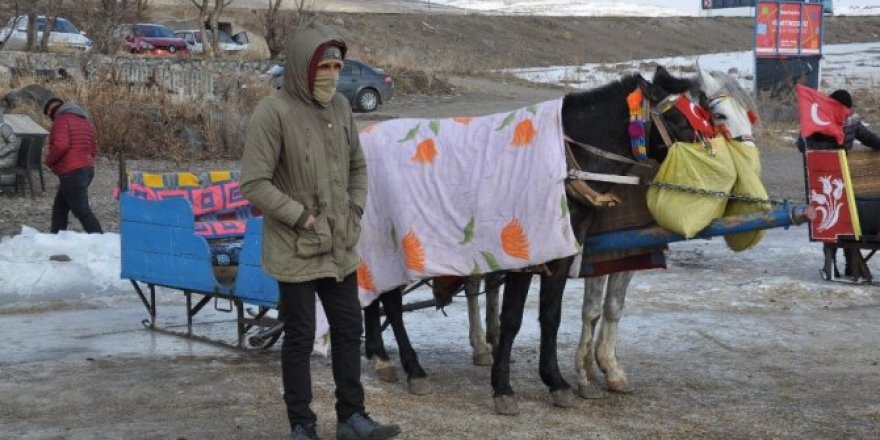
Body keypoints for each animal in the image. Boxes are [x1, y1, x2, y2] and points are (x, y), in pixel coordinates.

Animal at [576, 69, 760, 398]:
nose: (751, 158)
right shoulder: (599, 258)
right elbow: (592, 311)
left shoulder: (629, 256)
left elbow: (613, 307)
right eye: (720, 115)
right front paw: (584, 376)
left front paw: (610, 369)